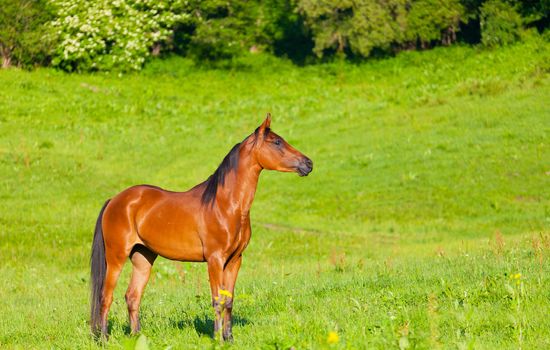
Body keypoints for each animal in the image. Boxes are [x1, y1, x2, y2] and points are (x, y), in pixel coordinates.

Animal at [90, 113, 314, 340]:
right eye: (277, 142)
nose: (308, 163)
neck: (225, 205)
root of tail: (115, 200)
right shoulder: (215, 260)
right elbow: (217, 300)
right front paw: (217, 338)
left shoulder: (235, 260)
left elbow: (229, 300)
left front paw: (229, 338)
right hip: (116, 256)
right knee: (106, 296)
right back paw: (103, 338)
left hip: (143, 257)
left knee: (133, 296)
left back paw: (137, 337)